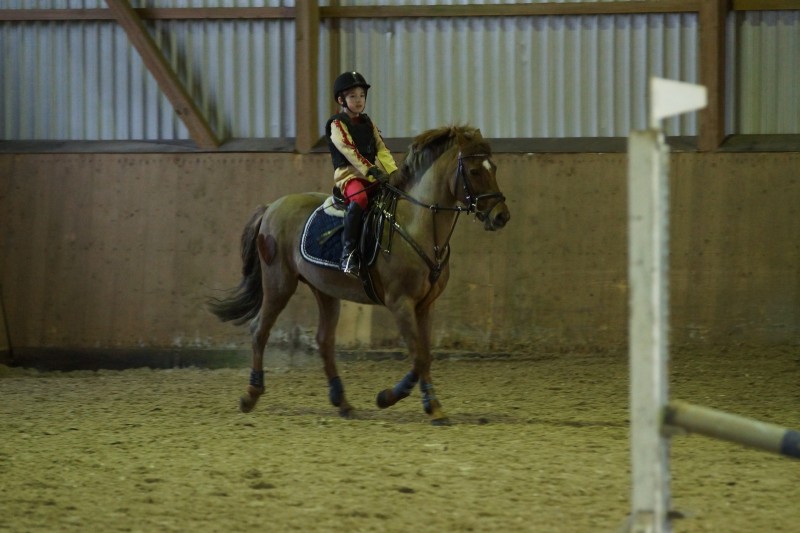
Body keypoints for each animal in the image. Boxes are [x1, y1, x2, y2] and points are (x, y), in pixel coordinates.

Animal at [208, 125, 510, 425]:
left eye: (493, 167)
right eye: (474, 171)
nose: (501, 216)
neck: (418, 224)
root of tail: (271, 207)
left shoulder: (426, 305)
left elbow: (425, 354)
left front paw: (432, 405)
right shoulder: (401, 303)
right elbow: (419, 356)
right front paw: (388, 397)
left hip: (324, 290)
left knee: (324, 341)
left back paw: (342, 403)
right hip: (279, 284)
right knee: (260, 330)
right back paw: (251, 394)